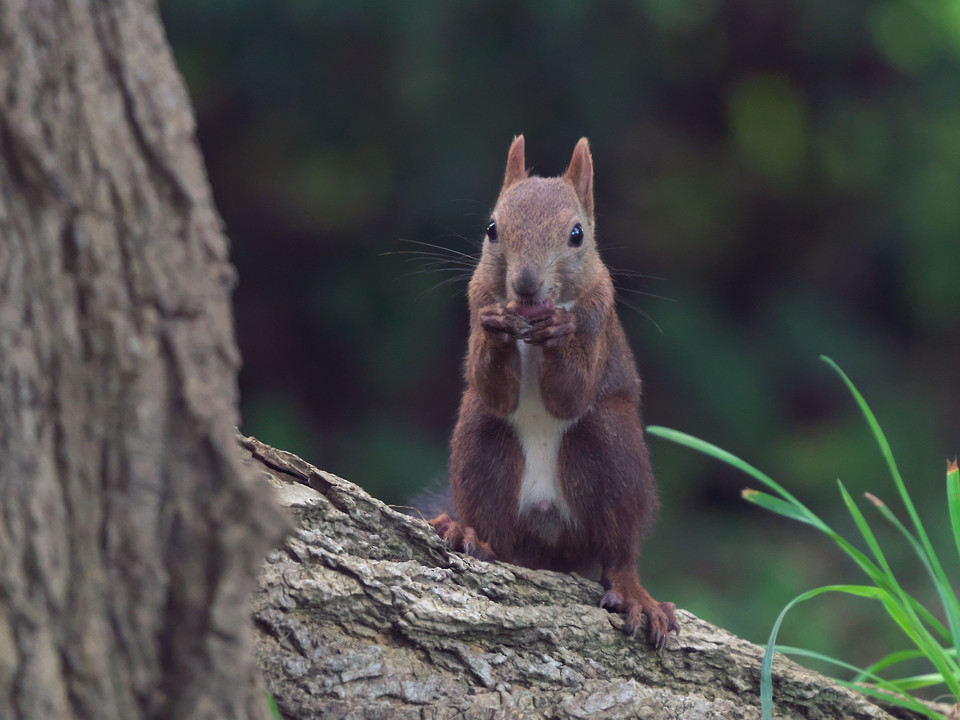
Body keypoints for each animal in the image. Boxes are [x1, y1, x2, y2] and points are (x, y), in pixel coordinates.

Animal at [432, 135, 680, 648]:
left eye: (577, 234)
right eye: (491, 228)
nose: (525, 286)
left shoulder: (598, 317)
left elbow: (572, 393)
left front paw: (558, 333)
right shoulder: (477, 298)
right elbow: (493, 387)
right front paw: (496, 329)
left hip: (613, 449)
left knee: (619, 551)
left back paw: (634, 593)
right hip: (480, 445)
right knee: (498, 533)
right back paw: (467, 534)